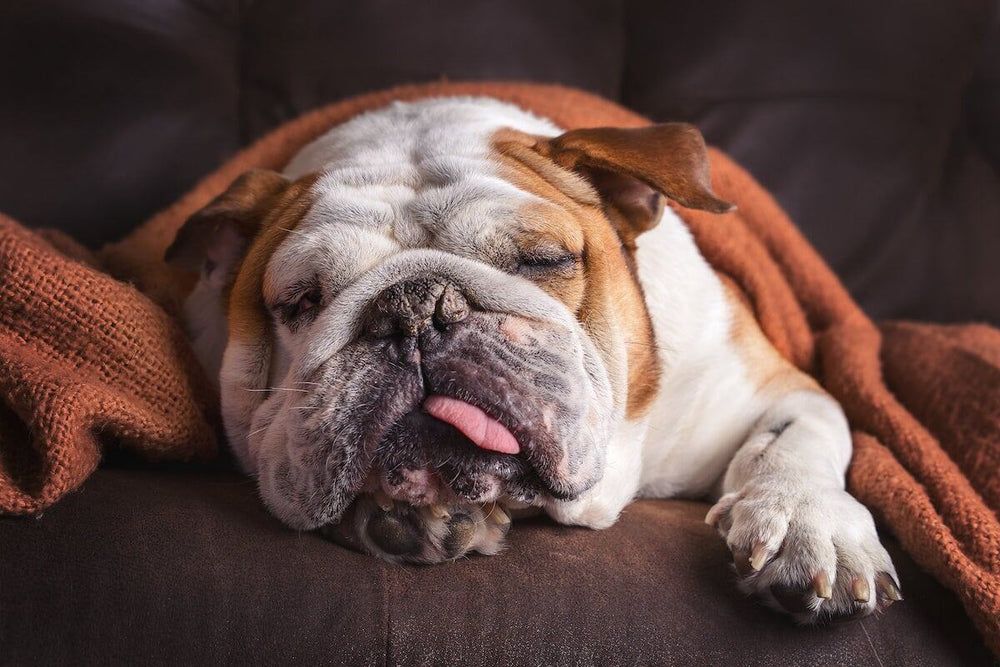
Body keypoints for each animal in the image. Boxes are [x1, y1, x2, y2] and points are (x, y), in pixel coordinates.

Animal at [168, 96, 904, 624]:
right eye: (300, 300)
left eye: (543, 260)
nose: (414, 307)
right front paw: (408, 512)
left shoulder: (774, 388)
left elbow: (798, 440)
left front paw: (811, 526)